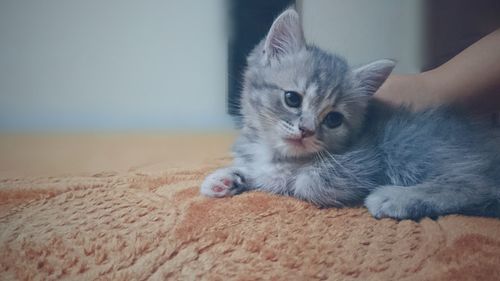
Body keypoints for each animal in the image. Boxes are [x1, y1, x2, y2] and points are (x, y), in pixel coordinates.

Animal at [200, 8, 500, 219]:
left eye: (333, 119)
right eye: (292, 98)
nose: (306, 130)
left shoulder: (364, 160)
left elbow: (306, 181)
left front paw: (275, 177)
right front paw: (228, 177)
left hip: (410, 145)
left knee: (479, 185)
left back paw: (397, 198)